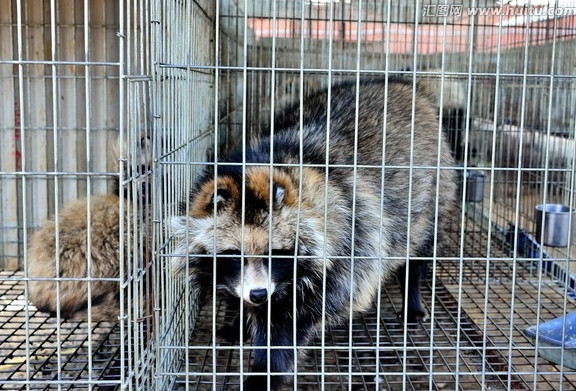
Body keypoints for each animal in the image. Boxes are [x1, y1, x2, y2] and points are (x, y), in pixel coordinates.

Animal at [172, 78, 460, 390]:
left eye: (276, 253)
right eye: (234, 255)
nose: (258, 294)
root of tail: (399, 86)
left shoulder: (349, 247)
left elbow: (290, 323)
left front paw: (265, 371)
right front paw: (239, 317)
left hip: (433, 198)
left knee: (420, 248)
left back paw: (413, 293)